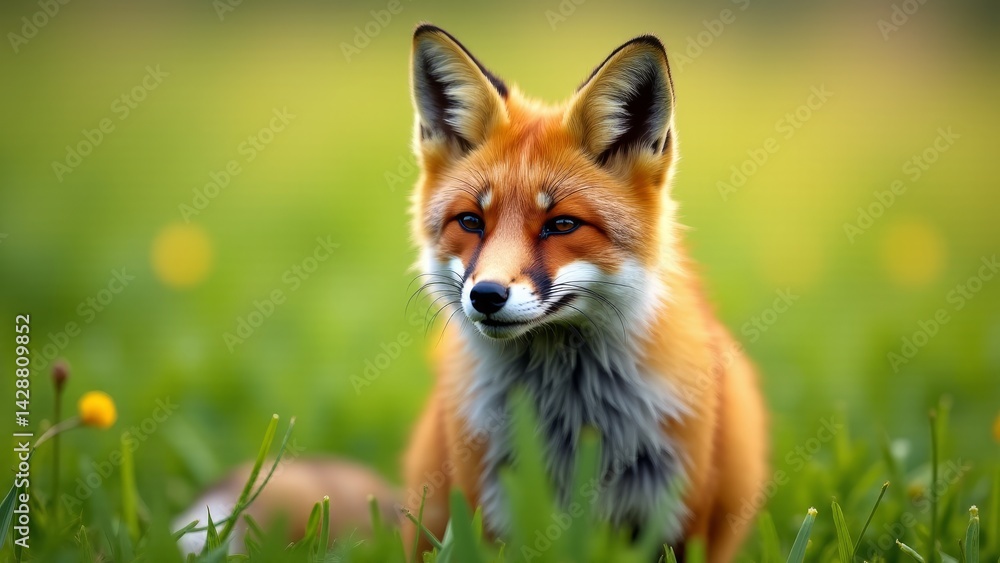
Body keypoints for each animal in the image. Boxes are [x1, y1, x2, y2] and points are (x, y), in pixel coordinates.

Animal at [177, 24, 768, 563]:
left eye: (561, 225)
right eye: (471, 221)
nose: (485, 295)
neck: (568, 419)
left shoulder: (675, 518)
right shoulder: (492, 509)